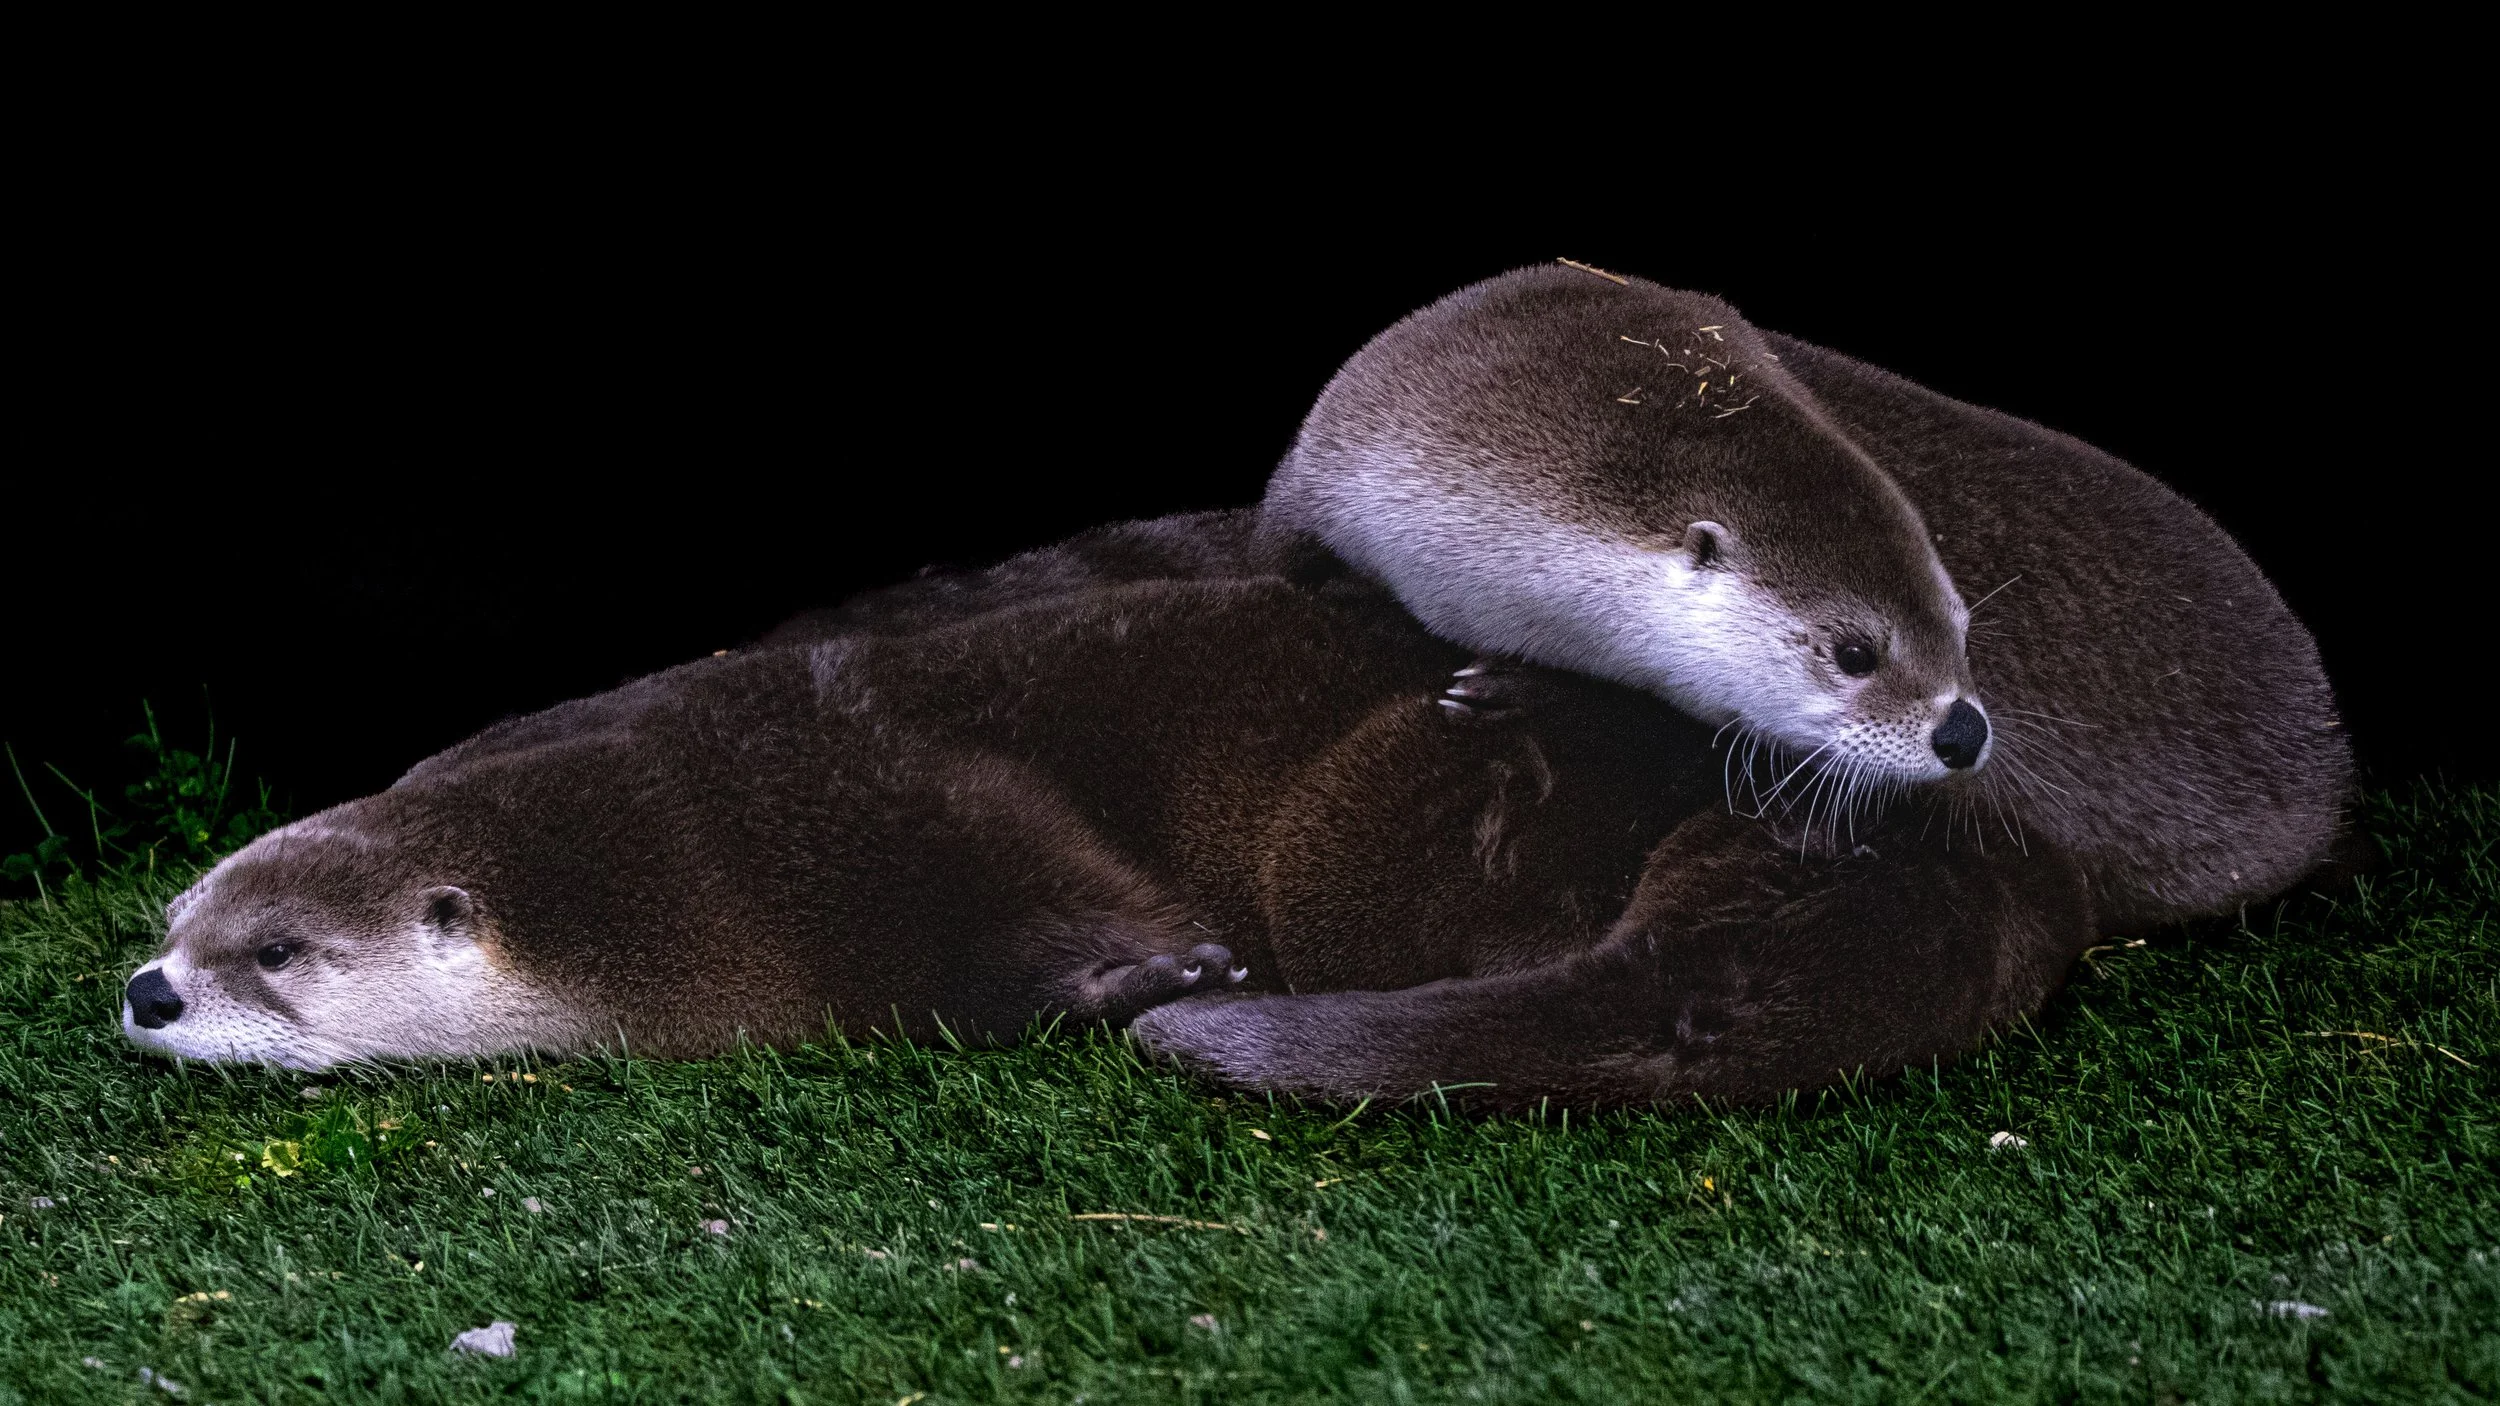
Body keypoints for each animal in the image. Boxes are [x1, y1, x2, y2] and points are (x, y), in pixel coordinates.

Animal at [122, 576, 2090, 1108]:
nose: (146, 990)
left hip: (1365, 828)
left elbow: (1012, 885)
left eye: (274, 955)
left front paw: (1165, 971)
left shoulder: (860, 824)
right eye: (179, 909)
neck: (640, 863)